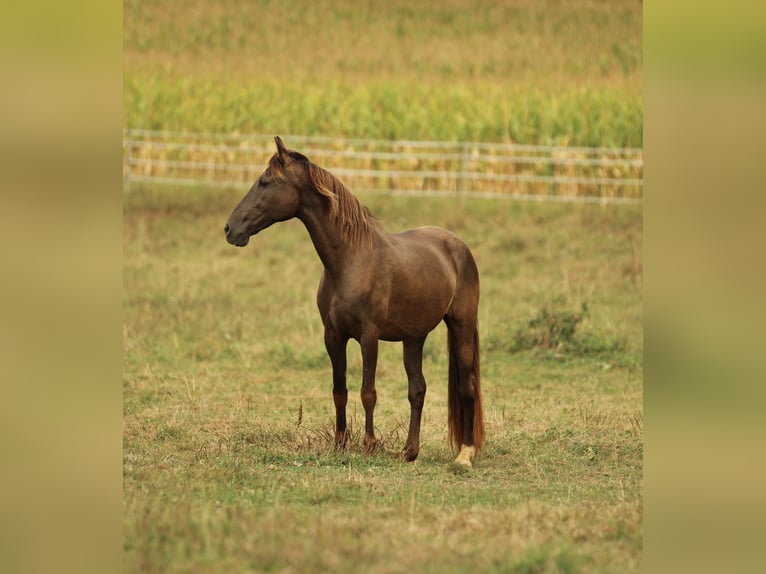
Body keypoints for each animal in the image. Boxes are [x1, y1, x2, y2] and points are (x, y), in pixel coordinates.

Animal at [224, 138, 486, 468]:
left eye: (265, 182)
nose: (230, 229)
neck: (350, 260)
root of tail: (458, 246)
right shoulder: (333, 336)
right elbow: (340, 390)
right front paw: (339, 444)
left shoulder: (368, 336)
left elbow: (368, 392)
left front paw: (369, 445)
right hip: (414, 337)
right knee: (418, 389)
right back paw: (409, 451)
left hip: (461, 326)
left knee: (467, 386)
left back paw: (465, 454)